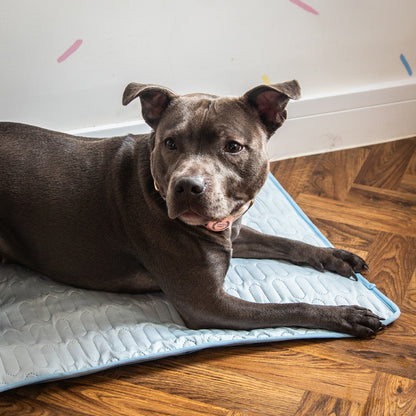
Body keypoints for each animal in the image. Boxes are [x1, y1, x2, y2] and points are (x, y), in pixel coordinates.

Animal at [0, 80, 384, 337]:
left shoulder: (234, 232)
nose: (187, 186)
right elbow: (290, 306)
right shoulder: (208, 303)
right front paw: (345, 315)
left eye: (233, 147)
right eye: (170, 143)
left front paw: (335, 255)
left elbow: (287, 242)